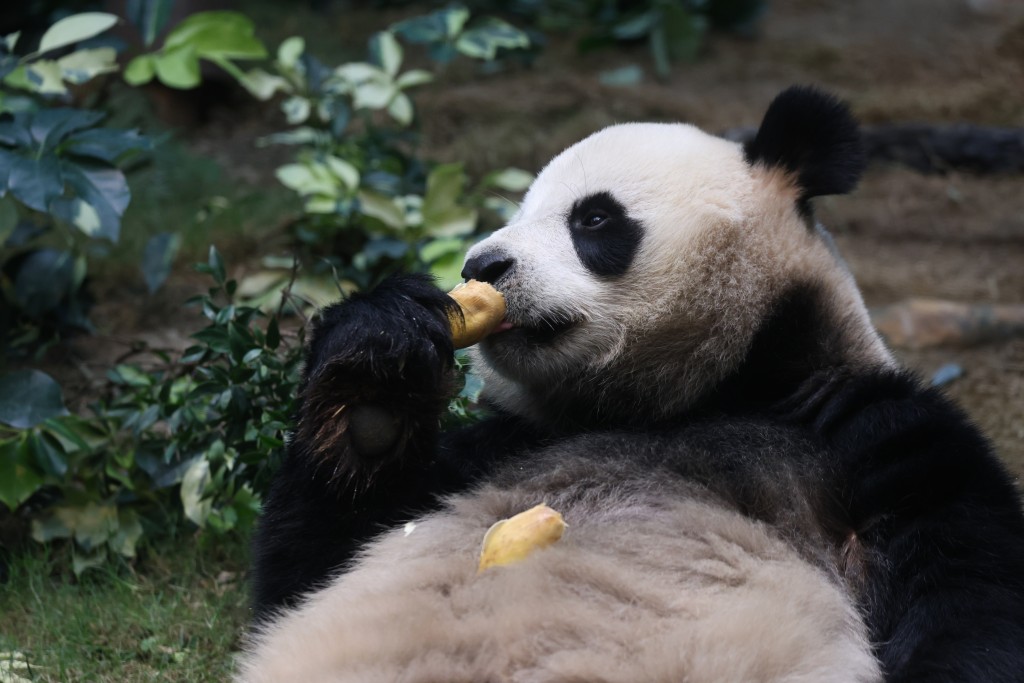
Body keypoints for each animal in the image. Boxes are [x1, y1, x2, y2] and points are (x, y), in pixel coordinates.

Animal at [235, 89, 1024, 683]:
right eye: (518, 212)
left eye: (593, 217)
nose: (482, 264)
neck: (689, 398)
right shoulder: (499, 446)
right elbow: (305, 568)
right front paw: (376, 376)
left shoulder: (864, 436)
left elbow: (971, 597)